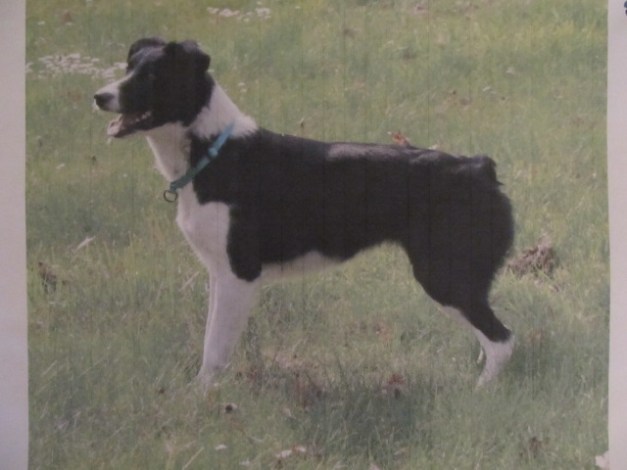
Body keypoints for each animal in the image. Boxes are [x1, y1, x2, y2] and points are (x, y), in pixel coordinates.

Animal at [94, 38, 515, 389]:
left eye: (153, 76)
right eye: (129, 67)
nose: (99, 96)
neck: (213, 150)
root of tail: (479, 167)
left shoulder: (238, 274)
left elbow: (214, 351)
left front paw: (200, 399)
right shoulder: (219, 272)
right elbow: (211, 341)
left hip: (442, 274)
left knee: (503, 340)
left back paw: (480, 392)